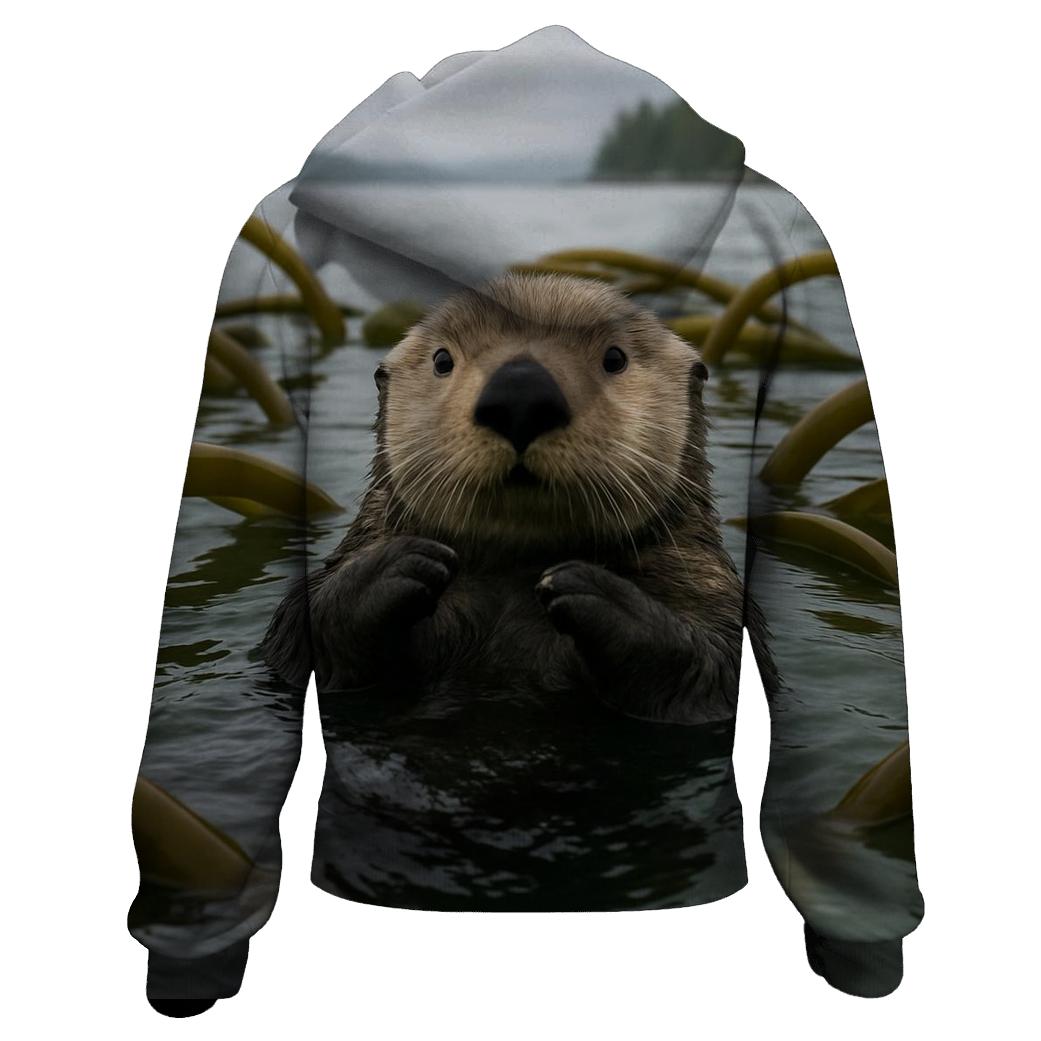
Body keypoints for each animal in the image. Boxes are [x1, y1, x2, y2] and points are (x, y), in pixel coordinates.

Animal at [262, 272, 771, 726]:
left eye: (615, 358)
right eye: (442, 360)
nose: (521, 396)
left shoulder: (708, 585)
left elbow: (715, 666)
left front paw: (587, 586)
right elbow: (303, 629)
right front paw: (400, 564)